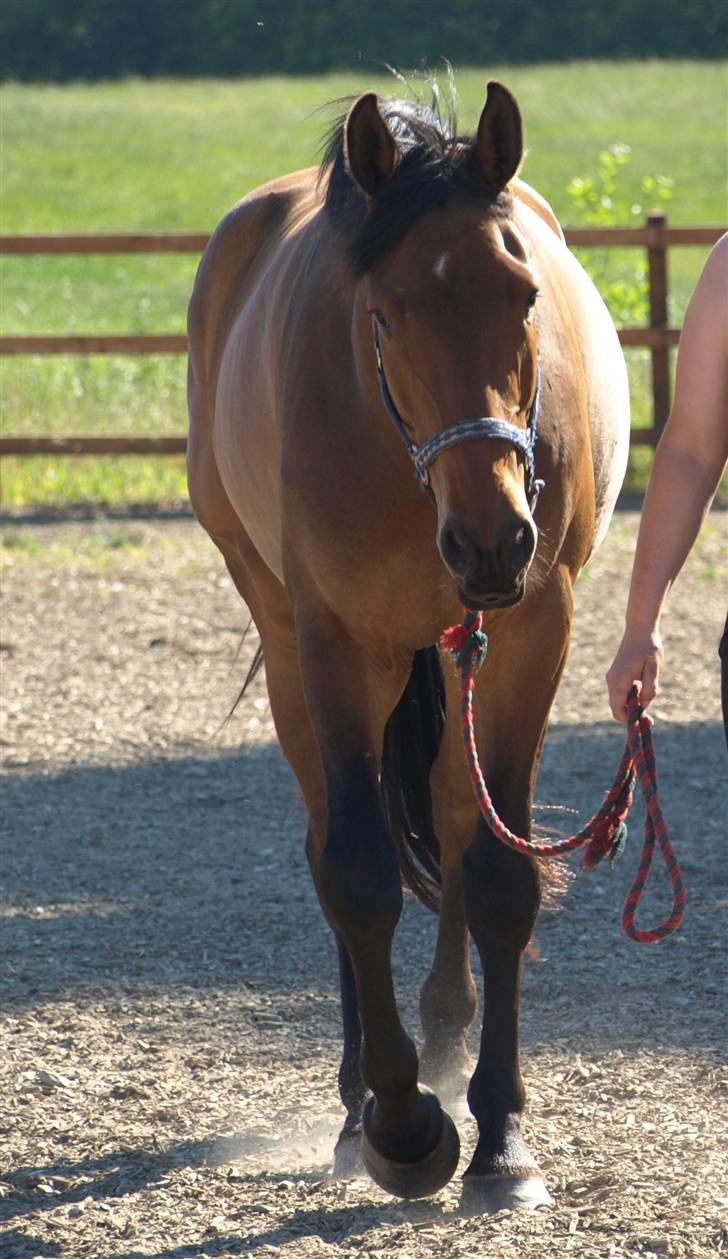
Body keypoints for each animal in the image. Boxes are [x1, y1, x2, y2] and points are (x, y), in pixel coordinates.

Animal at [186, 86, 629, 1208]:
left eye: (524, 293)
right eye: (382, 312)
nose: (492, 536)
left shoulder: (531, 628)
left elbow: (499, 872)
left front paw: (501, 1133)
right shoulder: (336, 642)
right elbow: (355, 869)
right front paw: (400, 1124)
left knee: (451, 811)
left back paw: (444, 1029)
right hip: (289, 636)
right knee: (333, 835)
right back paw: (358, 1099)